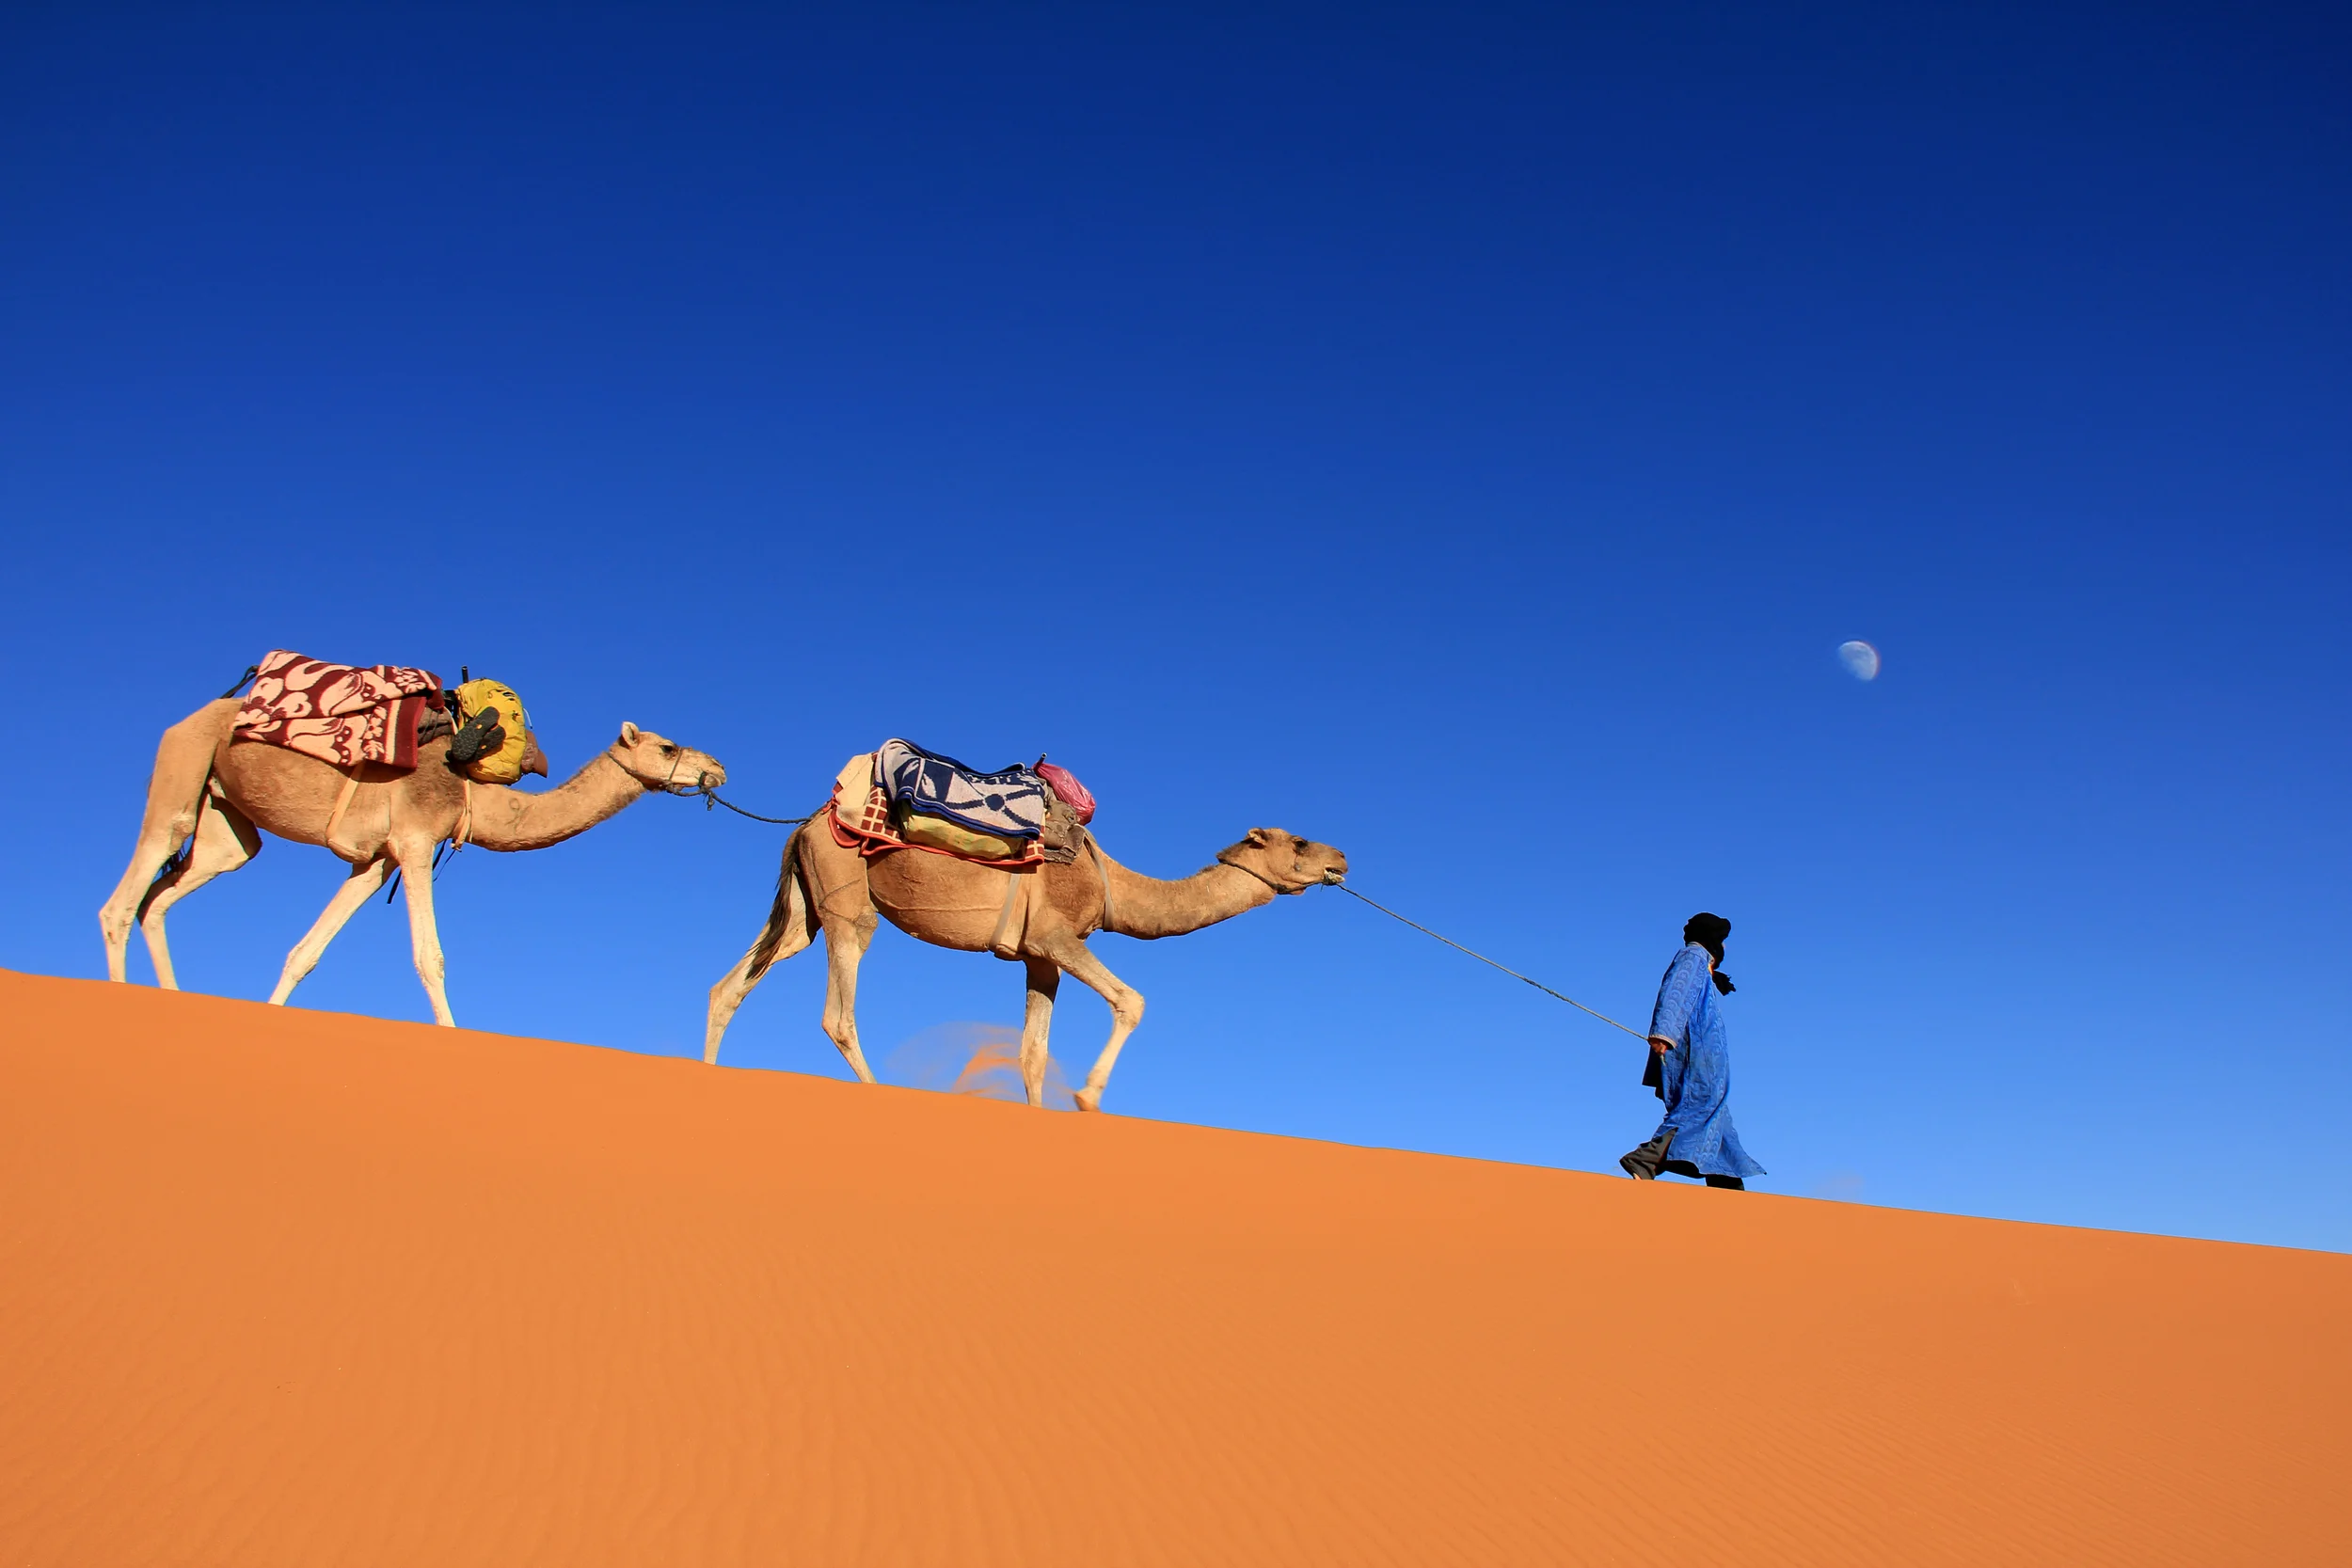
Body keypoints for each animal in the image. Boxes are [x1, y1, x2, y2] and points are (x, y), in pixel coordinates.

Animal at [99, 697, 726, 1027]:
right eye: (668, 747)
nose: (716, 767)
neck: (472, 793)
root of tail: (193, 714)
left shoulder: (376, 861)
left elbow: (305, 953)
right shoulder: (418, 842)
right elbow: (431, 959)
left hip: (224, 821)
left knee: (173, 889)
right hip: (183, 763)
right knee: (126, 896)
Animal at [704, 779, 1348, 1111]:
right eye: (1299, 841)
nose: (1341, 857)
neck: (1112, 886)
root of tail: (803, 824)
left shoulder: (1040, 960)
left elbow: (1031, 1054)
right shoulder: (1054, 935)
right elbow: (1132, 1001)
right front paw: (1087, 1097)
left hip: (804, 906)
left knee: (732, 985)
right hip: (846, 897)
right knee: (838, 1013)